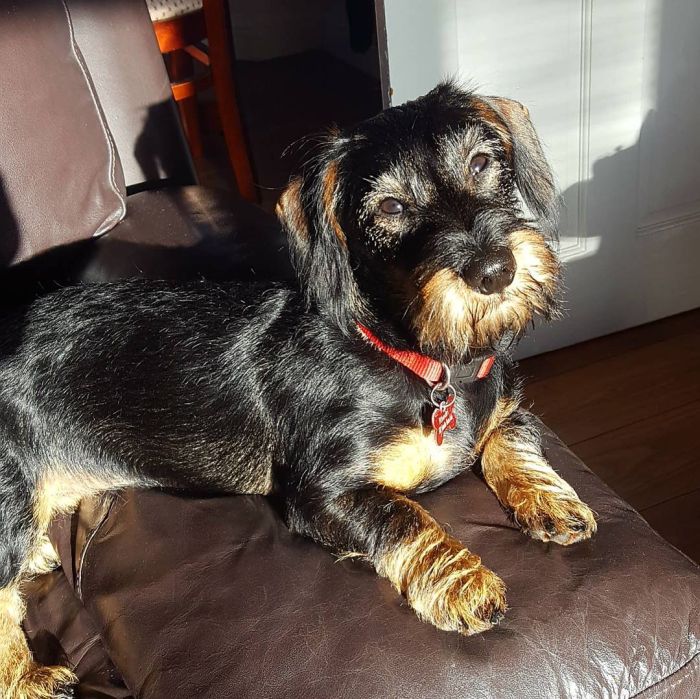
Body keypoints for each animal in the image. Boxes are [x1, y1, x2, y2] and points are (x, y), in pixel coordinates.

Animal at [0, 83, 596, 699]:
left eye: (481, 163)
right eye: (390, 208)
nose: (494, 270)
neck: (429, 363)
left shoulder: (508, 409)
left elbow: (509, 442)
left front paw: (551, 500)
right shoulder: (322, 492)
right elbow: (404, 516)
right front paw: (465, 582)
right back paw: (30, 675)